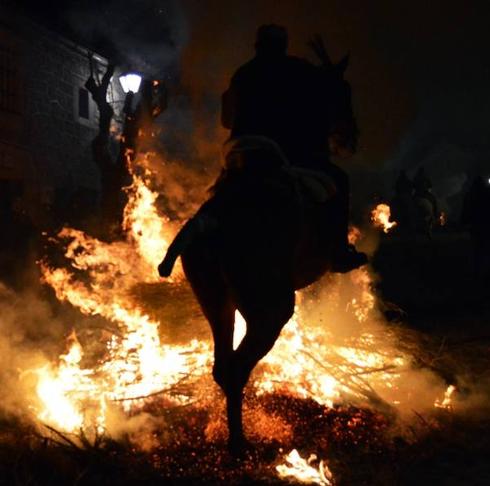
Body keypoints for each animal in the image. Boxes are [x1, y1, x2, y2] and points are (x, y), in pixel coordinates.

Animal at [159, 50, 358, 456]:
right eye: (343, 92)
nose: (351, 137)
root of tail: (211, 221)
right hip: (270, 311)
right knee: (236, 368)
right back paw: (239, 443)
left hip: (218, 304)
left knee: (222, 367)